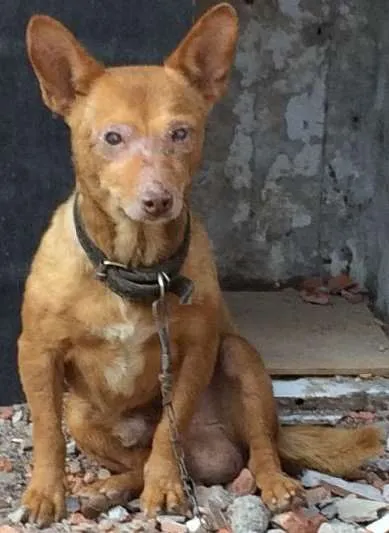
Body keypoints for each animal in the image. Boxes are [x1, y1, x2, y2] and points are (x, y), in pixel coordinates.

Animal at [19, 4, 382, 524]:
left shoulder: (196, 351)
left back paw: (274, 484)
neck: (135, 266)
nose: (157, 200)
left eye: (180, 133)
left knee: (258, 446)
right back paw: (106, 490)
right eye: (112, 137)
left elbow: (167, 435)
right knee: (132, 458)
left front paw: (165, 486)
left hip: (240, 357)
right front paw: (45, 493)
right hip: (82, 414)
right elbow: (46, 434)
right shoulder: (36, 352)